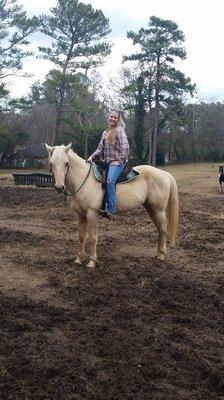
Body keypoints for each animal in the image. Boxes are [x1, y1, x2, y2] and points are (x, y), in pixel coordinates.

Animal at [45, 144, 178, 268]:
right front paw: (78, 259)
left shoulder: (92, 214)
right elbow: (81, 236)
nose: (59, 186)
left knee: (163, 228)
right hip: (151, 209)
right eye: (51, 163)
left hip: (158, 209)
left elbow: (92, 237)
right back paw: (158, 254)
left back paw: (161, 255)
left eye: (66, 163)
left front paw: (92, 262)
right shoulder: (80, 214)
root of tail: (164, 173)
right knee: (160, 229)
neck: (83, 180)